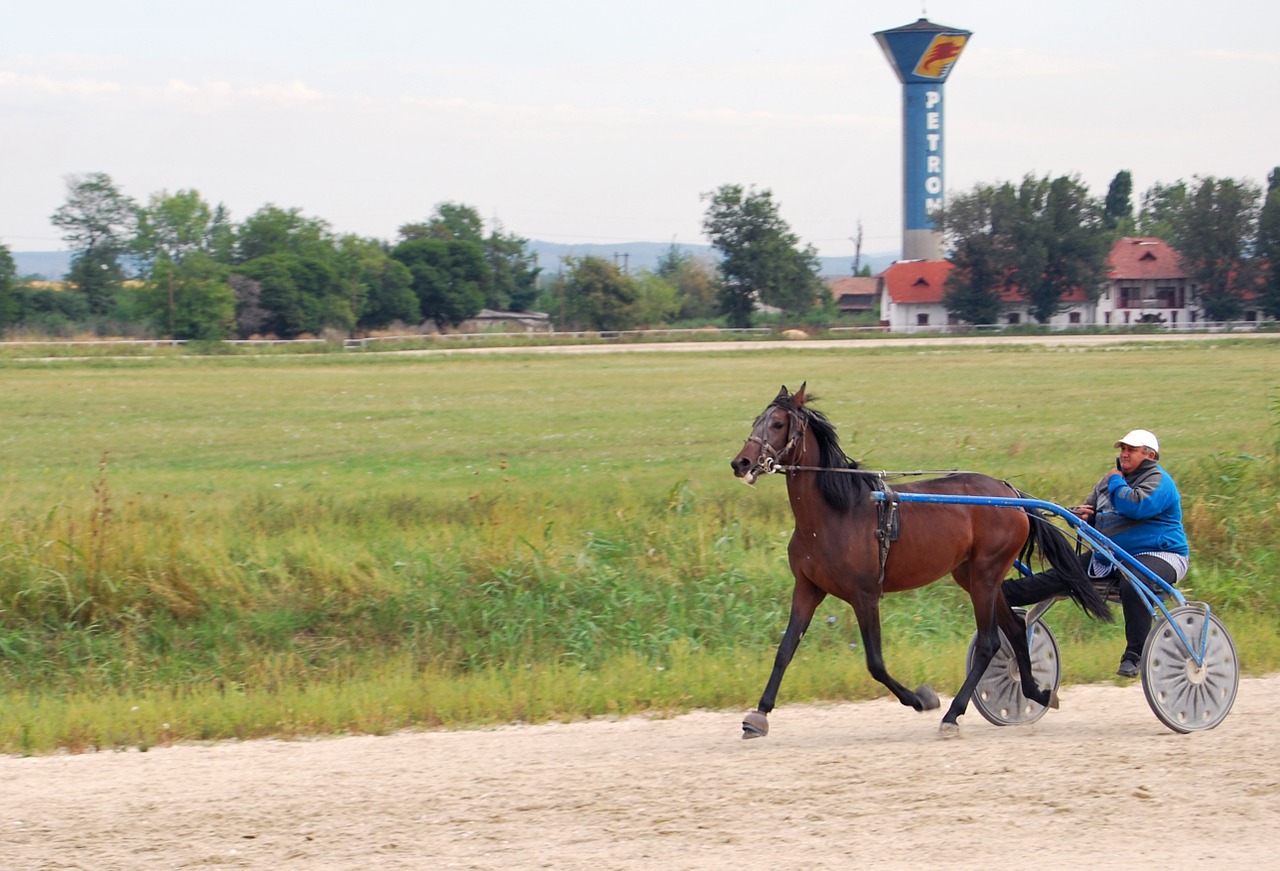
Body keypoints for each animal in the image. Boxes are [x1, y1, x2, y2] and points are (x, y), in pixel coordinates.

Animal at [732, 384, 1111, 737]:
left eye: (778, 423)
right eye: (756, 421)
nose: (741, 463)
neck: (832, 514)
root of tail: (1011, 495)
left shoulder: (865, 595)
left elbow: (875, 663)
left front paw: (921, 699)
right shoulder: (808, 588)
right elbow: (785, 650)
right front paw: (759, 715)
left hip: (986, 573)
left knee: (989, 642)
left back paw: (953, 714)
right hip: (972, 575)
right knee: (1016, 630)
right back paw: (1037, 692)